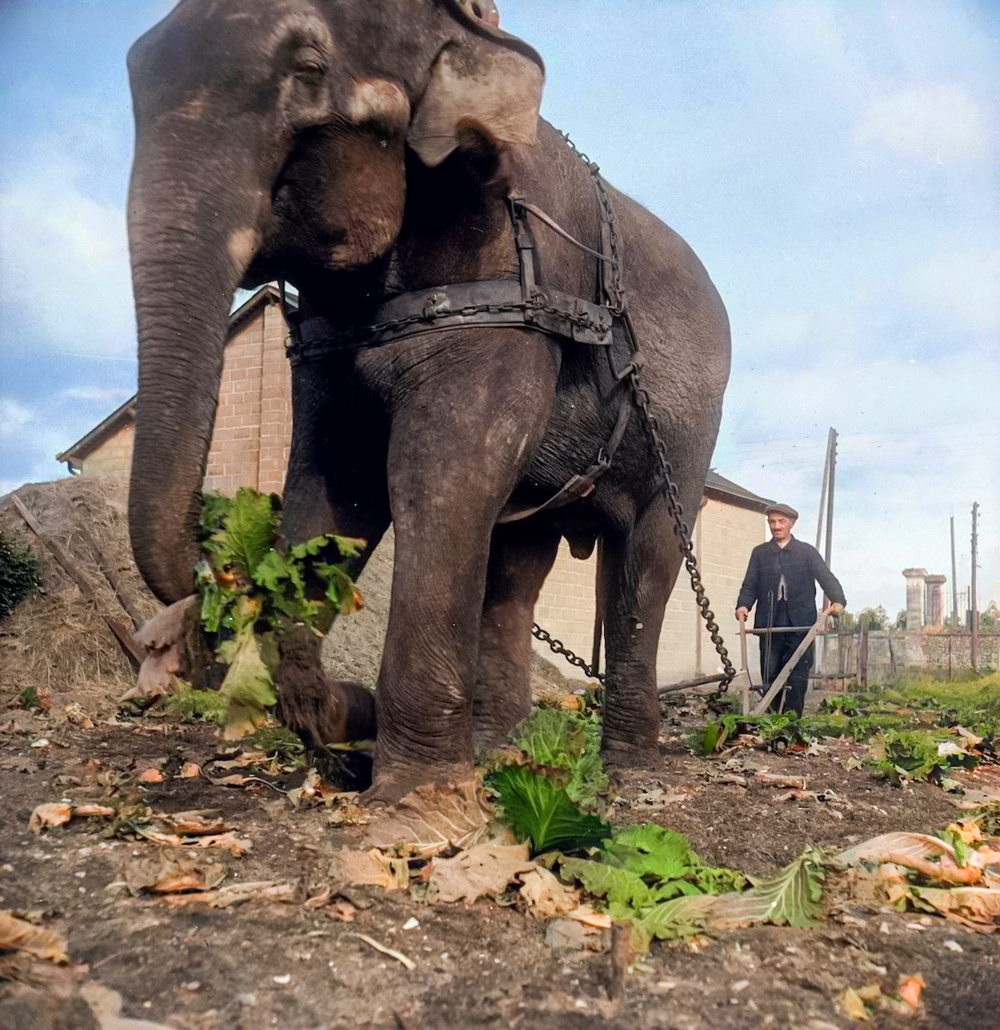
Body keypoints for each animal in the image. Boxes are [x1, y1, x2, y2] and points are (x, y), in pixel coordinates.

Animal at [129, 0, 733, 803]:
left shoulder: (506, 292)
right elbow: (338, 489)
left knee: (647, 559)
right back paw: (501, 751)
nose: (216, 569)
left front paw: (413, 796)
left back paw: (628, 769)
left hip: (688, 429)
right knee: (515, 570)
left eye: (308, 72)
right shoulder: (329, 343)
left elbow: (437, 479)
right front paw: (336, 716)